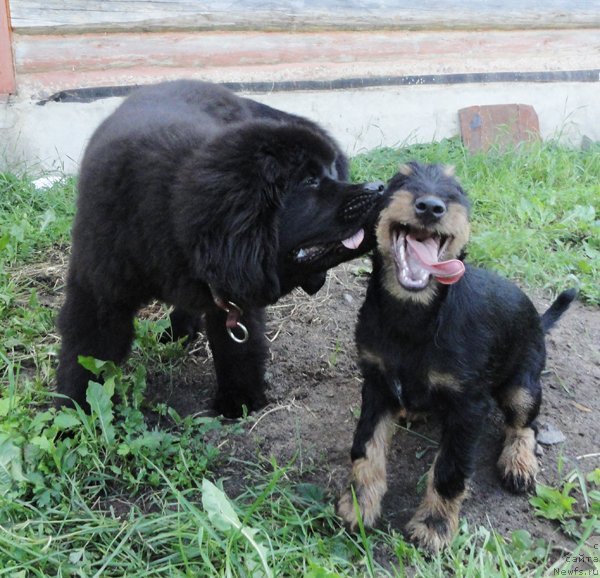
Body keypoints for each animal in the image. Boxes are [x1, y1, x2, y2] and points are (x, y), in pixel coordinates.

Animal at [57, 79, 384, 416]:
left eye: (331, 172)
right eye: (309, 181)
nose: (379, 187)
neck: (167, 214)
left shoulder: (235, 292)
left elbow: (238, 348)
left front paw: (238, 402)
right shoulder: (97, 292)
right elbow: (87, 352)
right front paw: (74, 410)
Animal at [338, 161, 576, 548]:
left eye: (458, 191)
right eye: (400, 180)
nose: (431, 207)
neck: (415, 315)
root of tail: (539, 324)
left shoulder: (468, 407)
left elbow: (449, 469)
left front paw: (433, 525)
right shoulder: (375, 384)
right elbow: (365, 447)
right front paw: (358, 504)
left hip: (522, 386)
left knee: (525, 424)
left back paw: (519, 462)